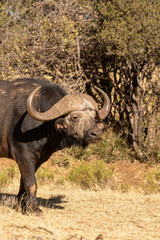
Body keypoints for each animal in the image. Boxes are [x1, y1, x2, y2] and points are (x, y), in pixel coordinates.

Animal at [0, 78, 110, 214]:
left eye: (93, 116)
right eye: (75, 117)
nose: (97, 133)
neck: (43, 126)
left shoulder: (38, 159)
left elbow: (23, 183)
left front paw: (20, 206)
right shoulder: (24, 156)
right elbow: (31, 183)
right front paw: (34, 209)